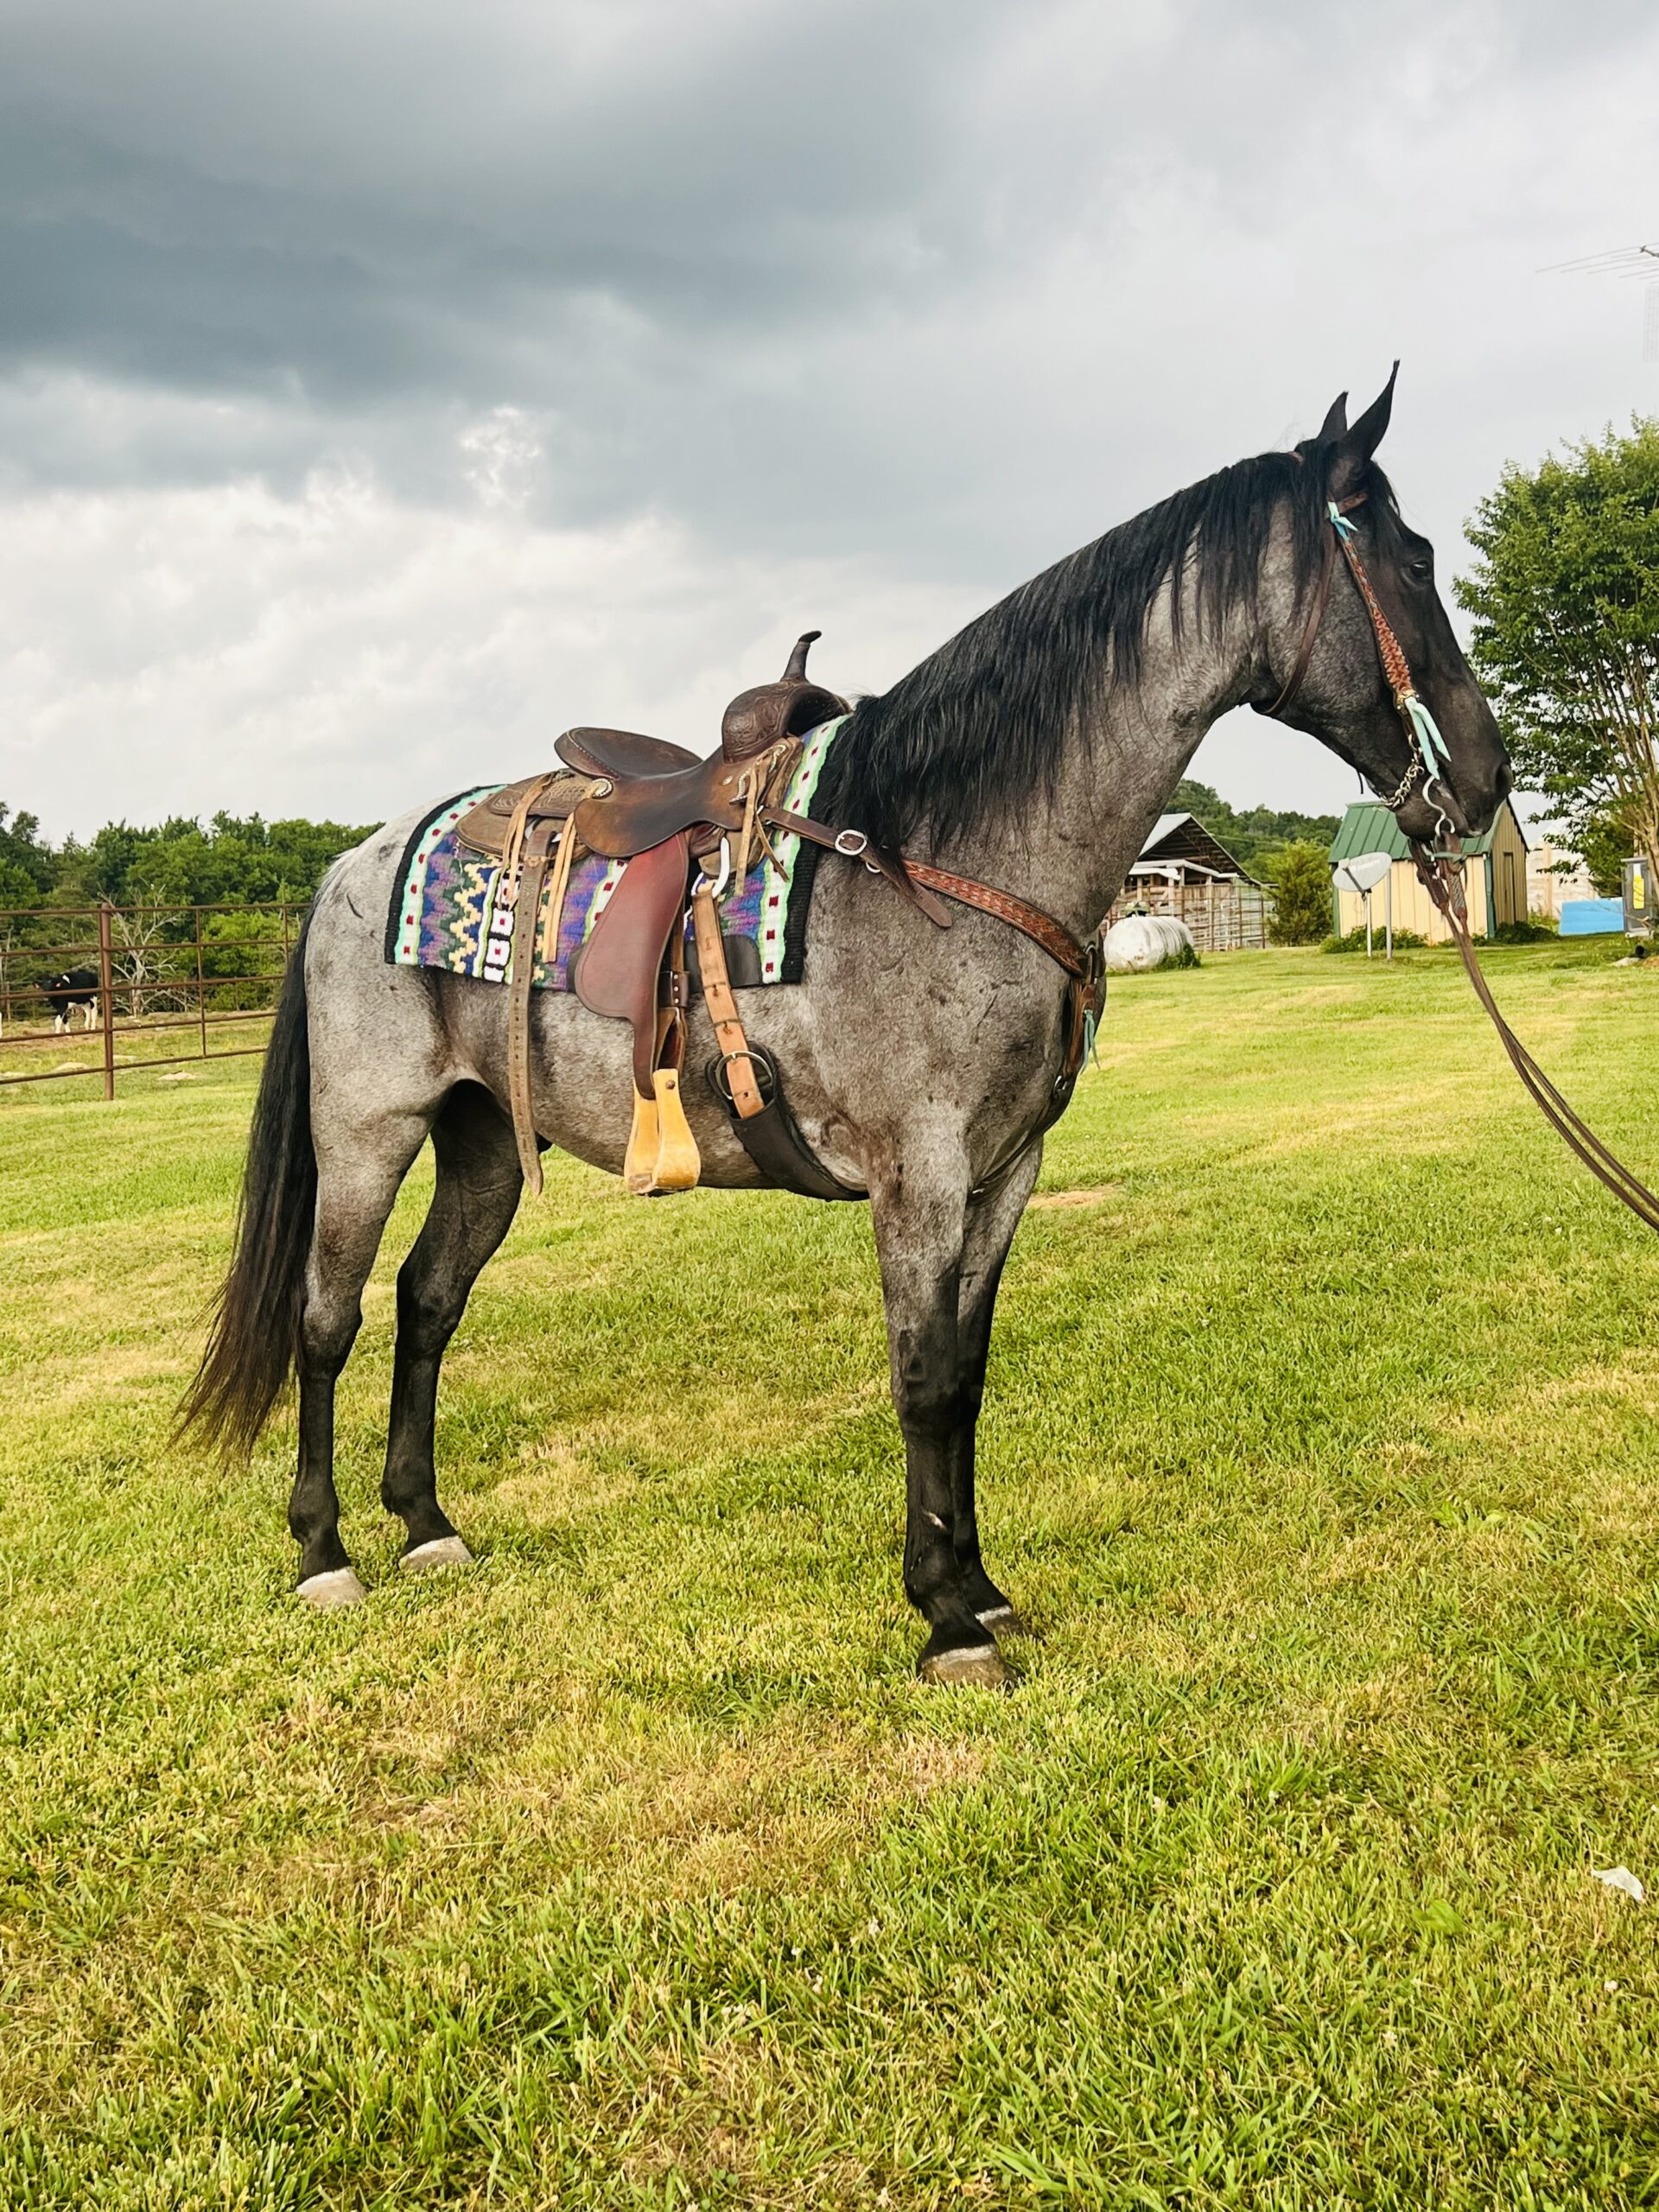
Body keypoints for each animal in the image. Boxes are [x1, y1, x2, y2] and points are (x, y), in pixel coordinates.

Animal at [182, 370, 1510, 1685]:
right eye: (1414, 559)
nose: (1488, 779)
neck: (940, 853)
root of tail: (351, 864)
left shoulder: (1005, 1171)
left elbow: (967, 1376)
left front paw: (980, 1583)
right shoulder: (917, 1174)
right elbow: (920, 1381)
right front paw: (946, 1621)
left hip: (487, 1140)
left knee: (426, 1302)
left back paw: (427, 1525)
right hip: (369, 1131)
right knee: (329, 1318)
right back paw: (325, 1553)